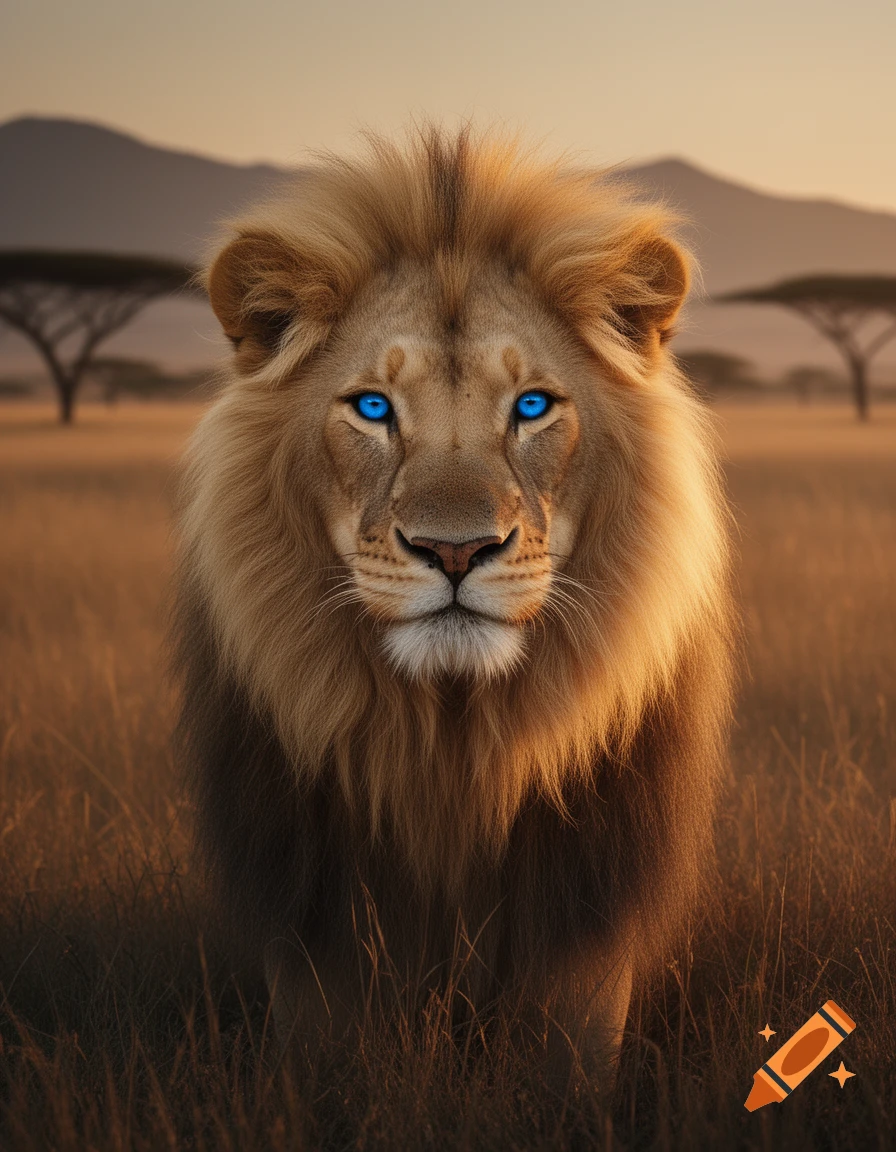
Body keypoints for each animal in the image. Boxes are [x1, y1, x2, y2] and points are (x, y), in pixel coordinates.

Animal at [172, 125, 733, 1094]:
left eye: (533, 405)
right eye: (372, 407)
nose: (458, 551)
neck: (451, 743)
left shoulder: (582, 945)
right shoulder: (317, 940)